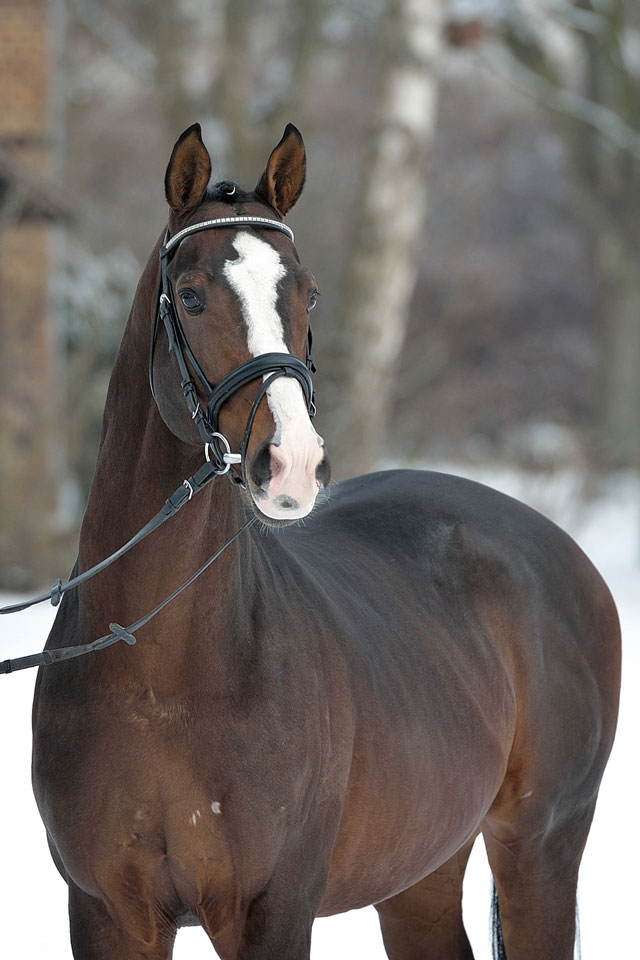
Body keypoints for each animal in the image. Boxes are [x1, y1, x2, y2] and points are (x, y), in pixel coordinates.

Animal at [31, 124, 620, 956]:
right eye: (191, 295)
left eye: (305, 293)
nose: (294, 465)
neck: (159, 677)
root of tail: (561, 550)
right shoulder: (108, 913)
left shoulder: (274, 908)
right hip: (420, 873)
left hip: (539, 849)